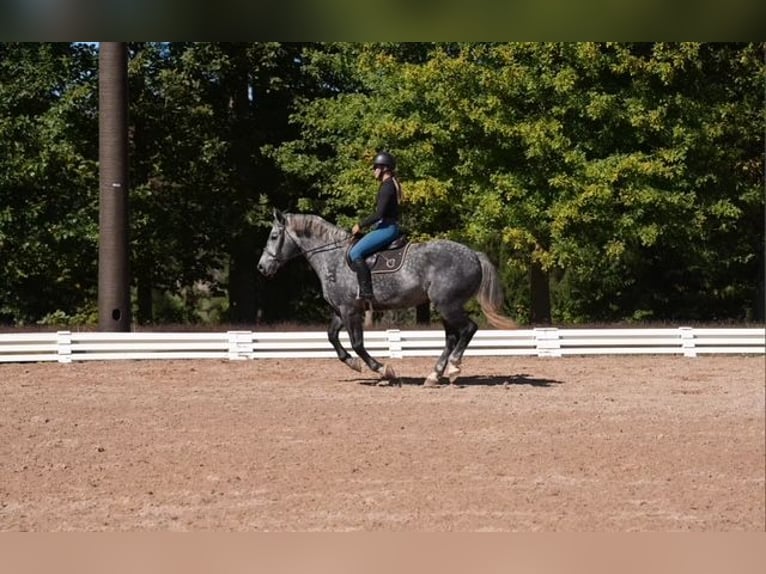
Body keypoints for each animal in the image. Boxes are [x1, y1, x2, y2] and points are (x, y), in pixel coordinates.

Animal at [257, 209, 517, 386]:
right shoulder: (341, 310)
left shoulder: (350, 310)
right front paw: (352, 363)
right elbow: (332, 338)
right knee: (452, 337)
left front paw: (383, 370)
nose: (261, 267)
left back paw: (453, 368)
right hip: (445, 306)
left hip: (448, 305)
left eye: (274, 236)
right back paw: (434, 375)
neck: (333, 257)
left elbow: (358, 344)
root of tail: (474, 254)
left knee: (467, 329)